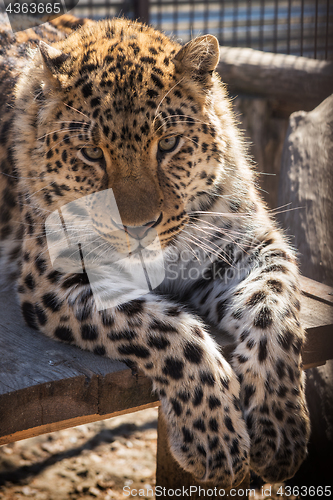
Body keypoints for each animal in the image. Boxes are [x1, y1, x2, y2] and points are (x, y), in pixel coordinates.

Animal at [0, 12, 308, 488]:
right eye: (91, 154)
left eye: (167, 144)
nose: (138, 229)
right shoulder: (54, 283)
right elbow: (169, 330)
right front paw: (214, 437)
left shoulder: (252, 245)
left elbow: (272, 311)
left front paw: (279, 429)